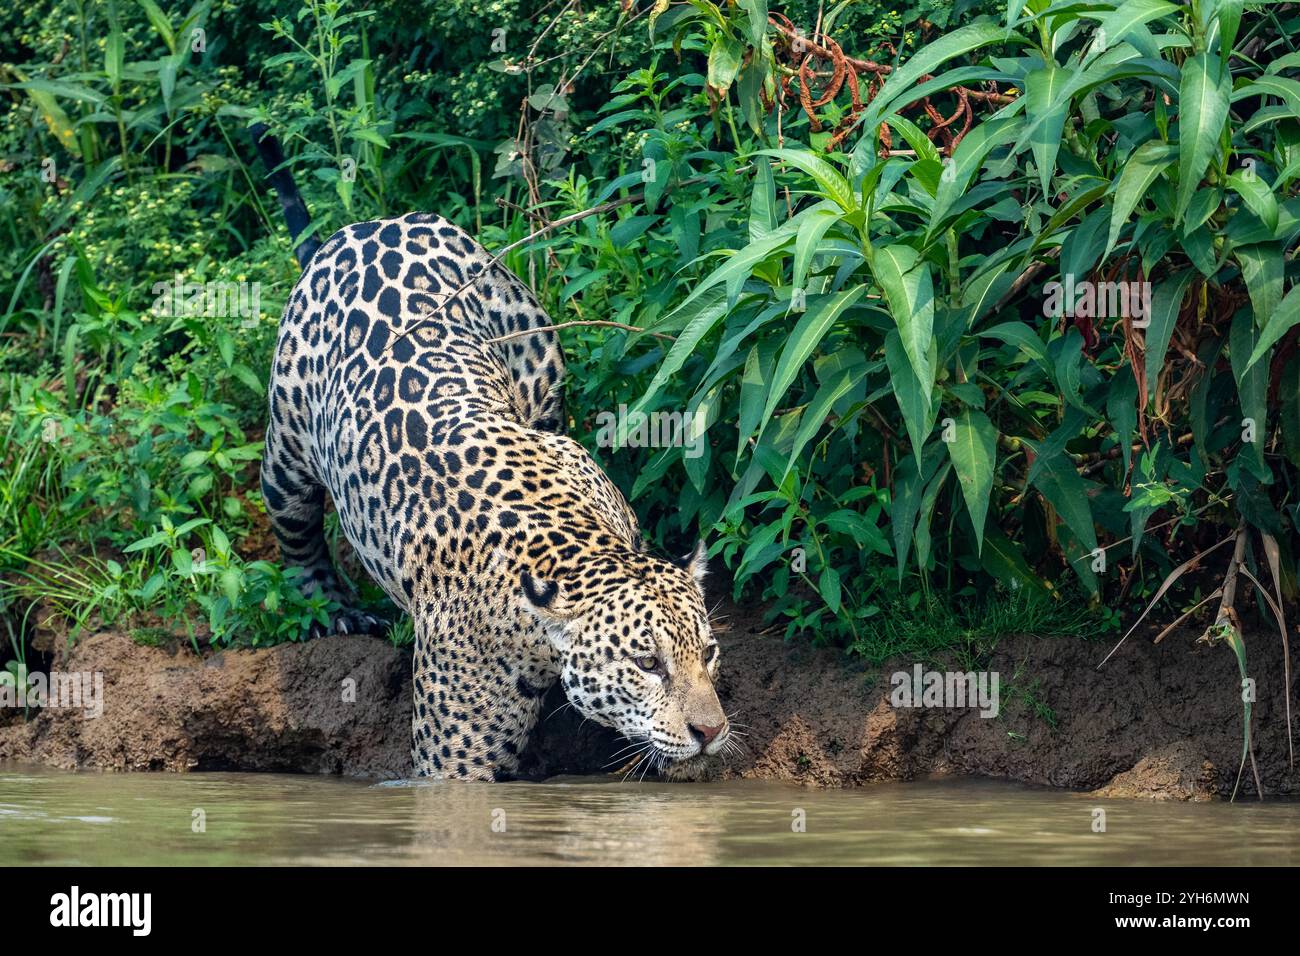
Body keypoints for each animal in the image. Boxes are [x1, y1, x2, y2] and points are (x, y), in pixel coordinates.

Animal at [260, 212, 731, 780]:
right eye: (647, 664)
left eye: (708, 653)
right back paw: (334, 610)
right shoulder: (453, 766)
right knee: (295, 527)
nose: (710, 731)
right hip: (286, 448)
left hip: (543, 364)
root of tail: (375, 223)